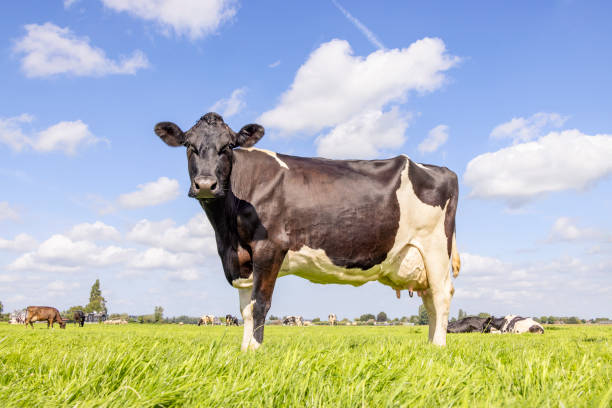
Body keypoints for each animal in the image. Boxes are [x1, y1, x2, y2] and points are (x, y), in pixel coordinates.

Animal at [155, 113, 462, 350]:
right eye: (189, 145)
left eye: (228, 145)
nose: (206, 184)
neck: (226, 232)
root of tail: (441, 169)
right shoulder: (240, 258)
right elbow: (245, 310)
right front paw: (243, 350)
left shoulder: (269, 247)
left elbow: (260, 304)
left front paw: (255, 351)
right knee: (430, 300)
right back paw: (429, 345)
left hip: (435, 246)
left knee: (441, 294)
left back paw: (439, 347)